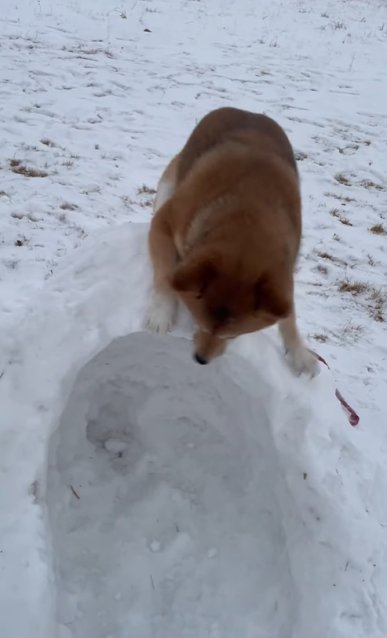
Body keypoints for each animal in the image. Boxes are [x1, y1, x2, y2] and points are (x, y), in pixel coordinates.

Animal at [146, 107, 318, 378]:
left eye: (233, 336)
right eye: (201, 324)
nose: (201, 360)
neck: (249, 213)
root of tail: (250, 112)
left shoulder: (282, 276)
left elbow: (288, 317)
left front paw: (299, 353)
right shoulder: (163, 223)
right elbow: (165, 274)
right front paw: (162, 312)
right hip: (168, 184)